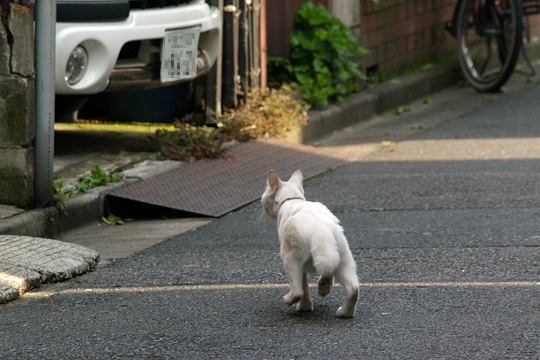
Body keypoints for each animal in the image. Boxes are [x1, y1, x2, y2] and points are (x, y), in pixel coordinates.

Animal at [260, 169, 358, 318]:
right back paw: (341, 308)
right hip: (343, 259)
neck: (292, 199)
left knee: (297, 291)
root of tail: (322, 229)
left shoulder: (297, 262)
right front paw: (308, 304)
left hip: (290, 258)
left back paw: (288, 299)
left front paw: (304, 307)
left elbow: (304, 286)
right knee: (353, 288)